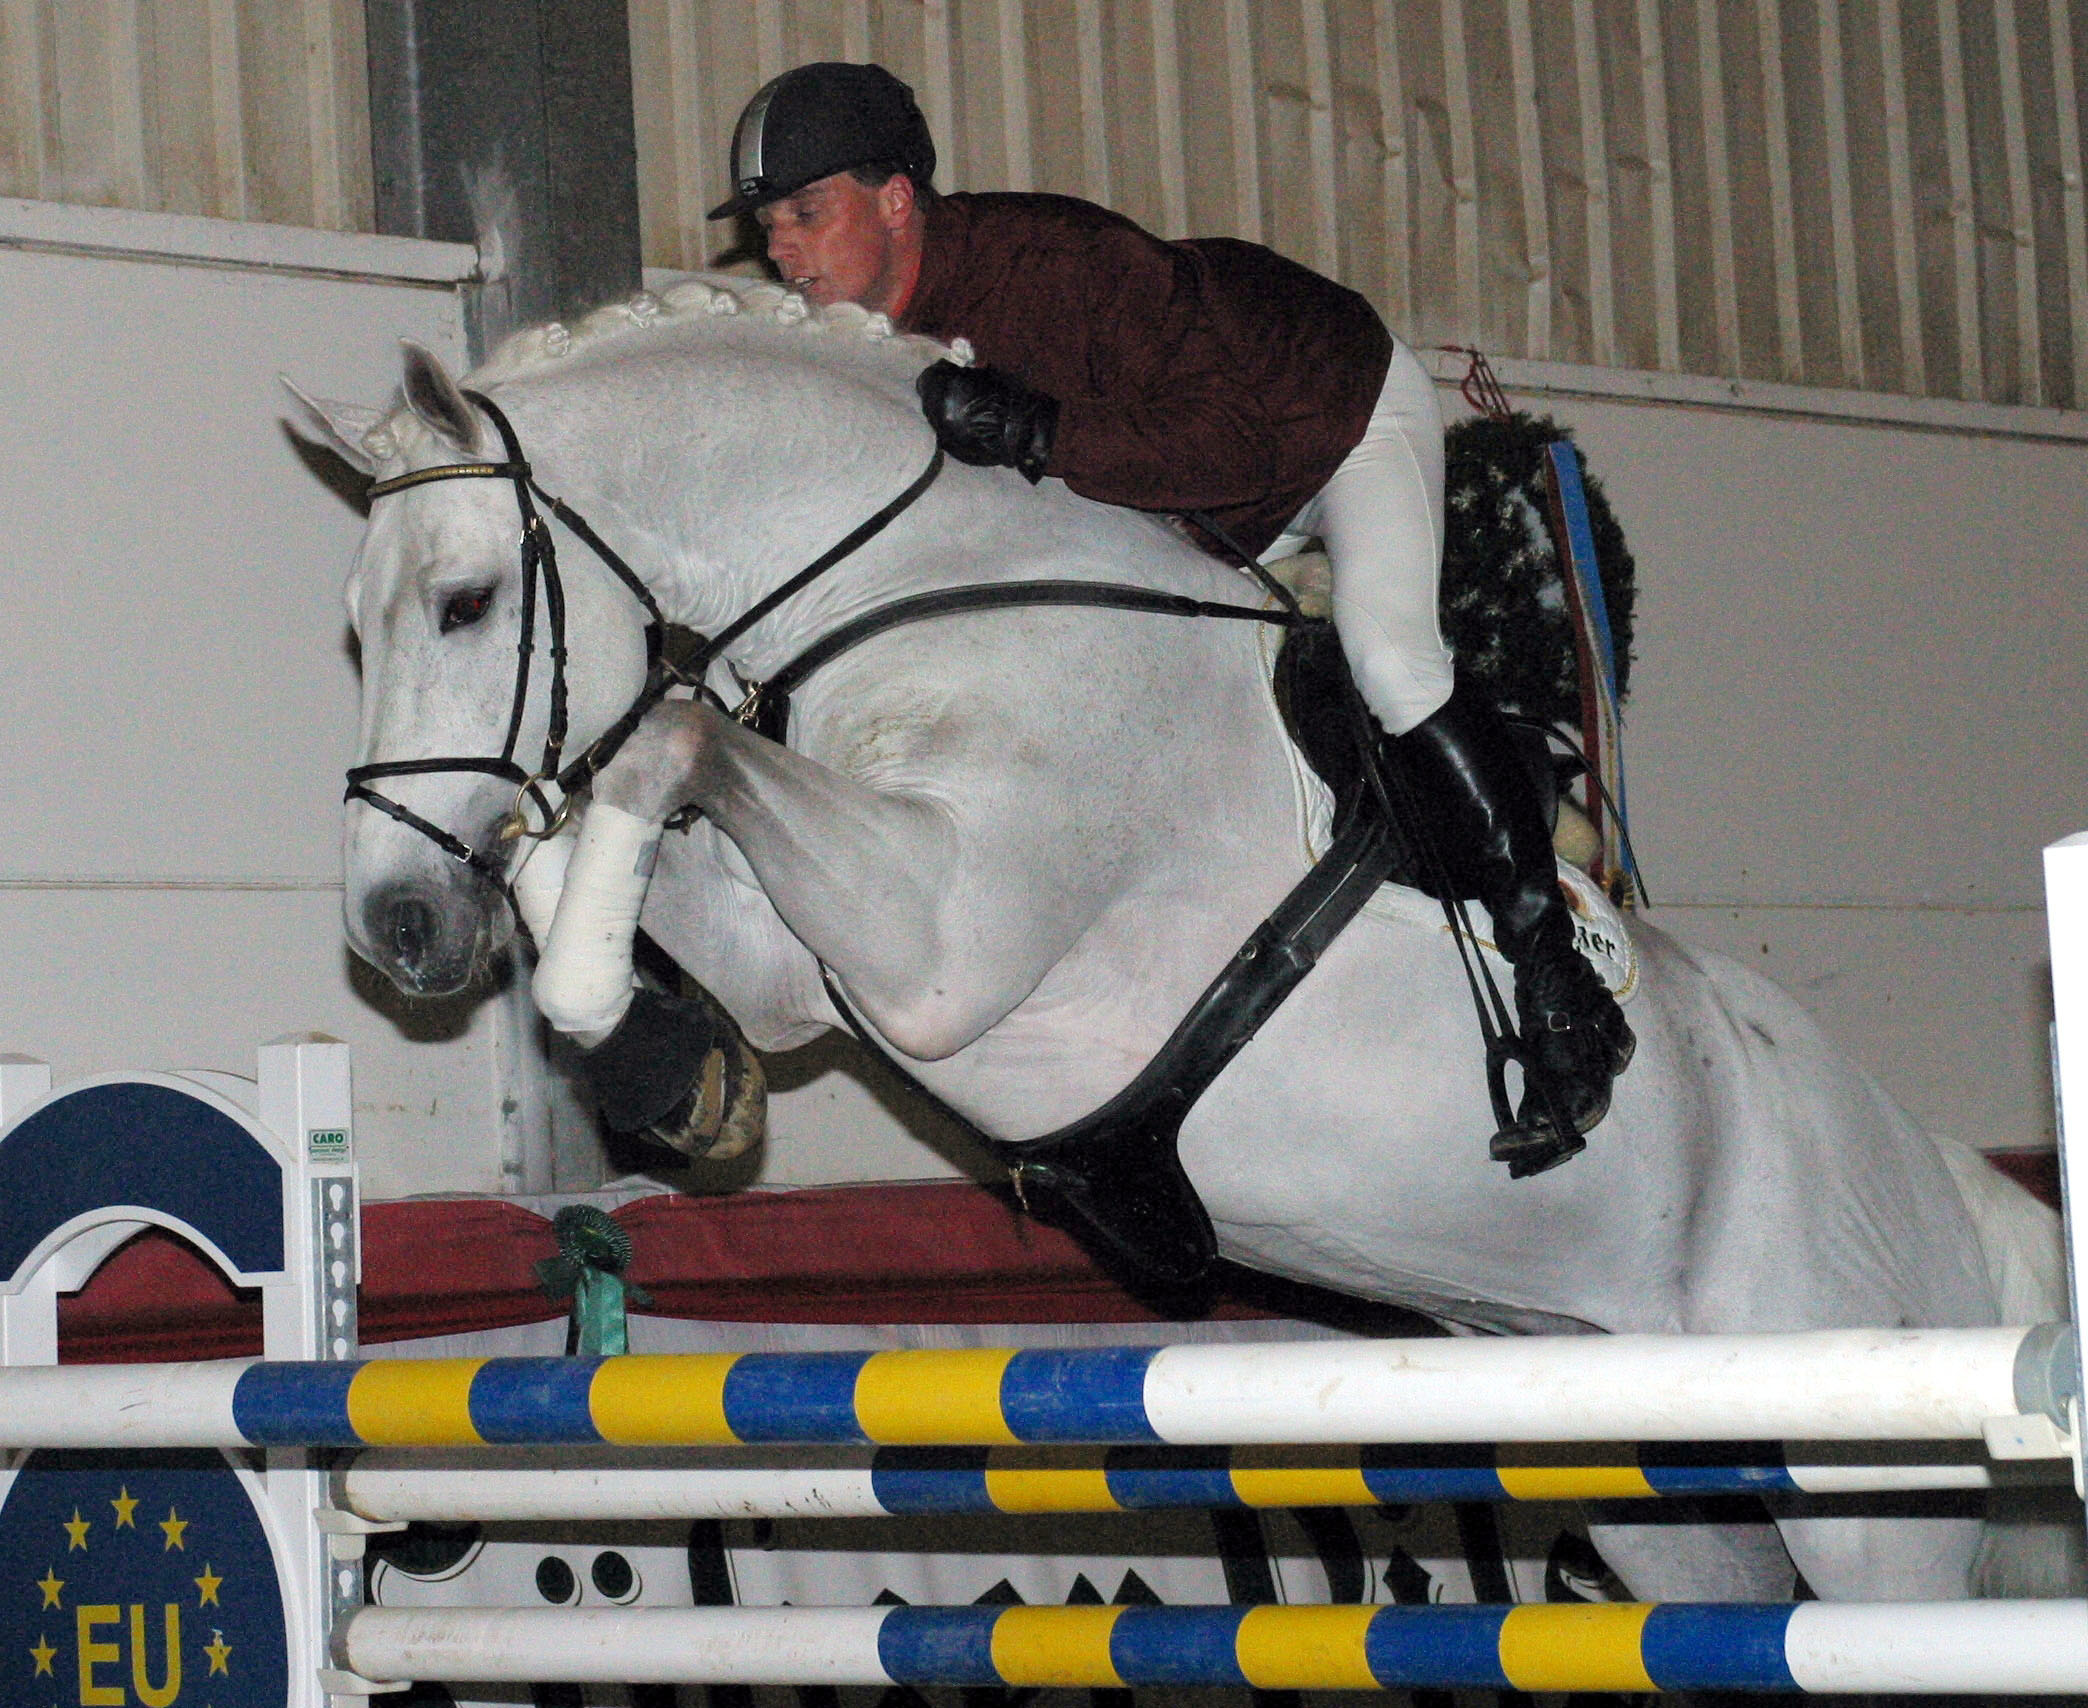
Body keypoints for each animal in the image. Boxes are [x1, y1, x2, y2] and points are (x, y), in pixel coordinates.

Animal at [304, 275, 2071, 1595]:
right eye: (357, 633)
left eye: (465, 604)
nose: (396, 926)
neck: (936, 581)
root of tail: (1931, 1174)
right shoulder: (813, 965)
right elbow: (616, 832)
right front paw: (668, 1066)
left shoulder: (937, 943)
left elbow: (666, 743)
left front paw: (616, 1006)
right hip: (1670, 1504)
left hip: (1869, 1502)